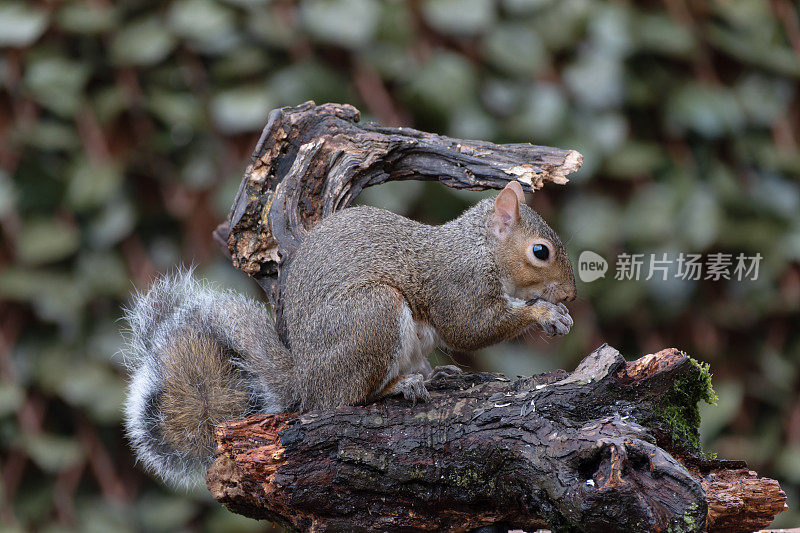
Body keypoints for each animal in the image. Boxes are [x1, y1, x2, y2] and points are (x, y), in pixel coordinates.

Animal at [122, 182, 576, 486]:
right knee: (348, 398)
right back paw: (400, 386)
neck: (480, 248)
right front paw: (544, 313)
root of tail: (306, 380)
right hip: (372, 316)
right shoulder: (458, 286)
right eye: (540, 252)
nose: (571, 293)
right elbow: (471, 329)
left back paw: (434, 376)